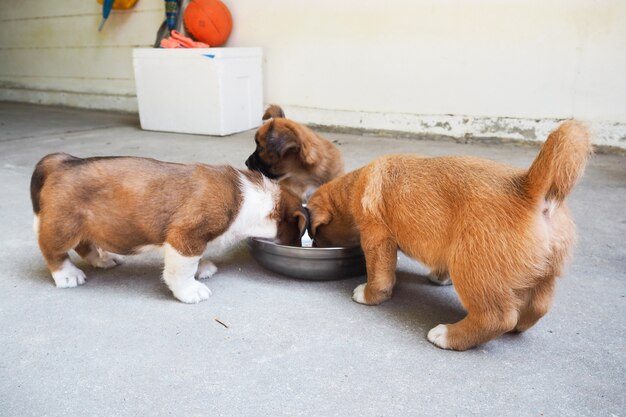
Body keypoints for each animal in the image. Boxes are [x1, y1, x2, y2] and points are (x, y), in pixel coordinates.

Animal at [31, 154, 304, 304]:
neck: (250, 199)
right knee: (52, 251)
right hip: (63, 227)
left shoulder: (193, 242)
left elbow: (195, 260)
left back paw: (103, 259)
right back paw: (68, 275)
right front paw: (191, 291)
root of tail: (61, 162)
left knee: (85, 245)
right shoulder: (185, 238)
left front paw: (202, 269)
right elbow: (181, 270)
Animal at [308, 121, 588, 352]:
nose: (314, 244)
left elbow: (380, 276)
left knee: (497, 317)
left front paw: (368, 295)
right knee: (538, 307)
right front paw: (439, 277)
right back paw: (520, 325)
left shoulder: (377, 239)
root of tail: (529, 188)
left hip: (471, 266)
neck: (355, 185)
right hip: (546, 275)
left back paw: (447, 335)